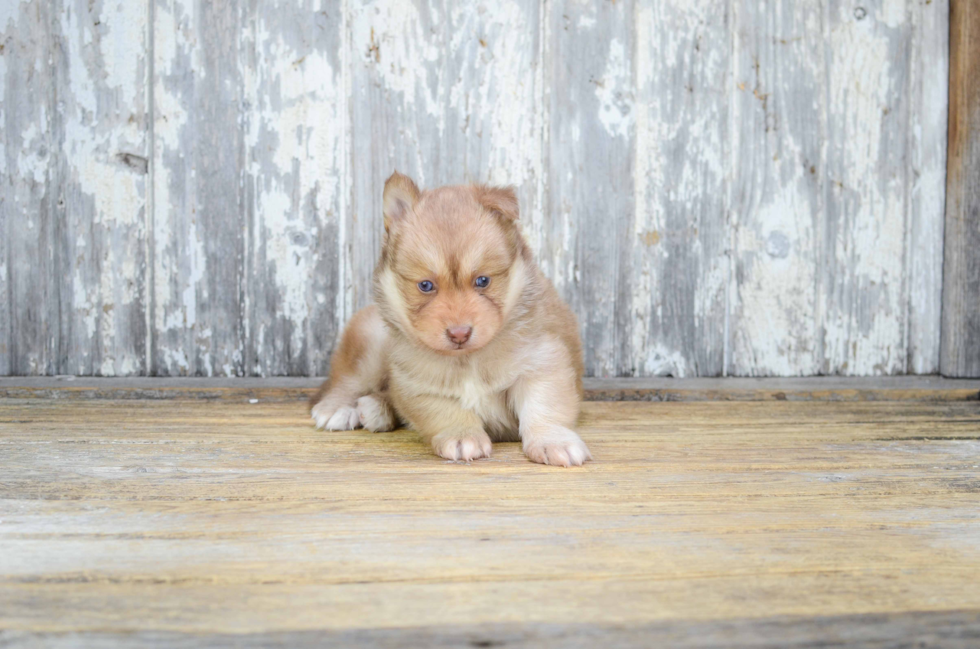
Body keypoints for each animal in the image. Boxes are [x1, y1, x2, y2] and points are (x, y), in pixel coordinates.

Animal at [312, 171, 588, 466]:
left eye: (482, 281)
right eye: (425, 285)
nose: (459, 333)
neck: (468, 360)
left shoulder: (542, 361)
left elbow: (544, 406)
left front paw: (553, 441)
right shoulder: (417, 383)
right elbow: (445, 410)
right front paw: (462, 435)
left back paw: (376, 409)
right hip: (371, 343)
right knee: (348, 379)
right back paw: (339, 408)